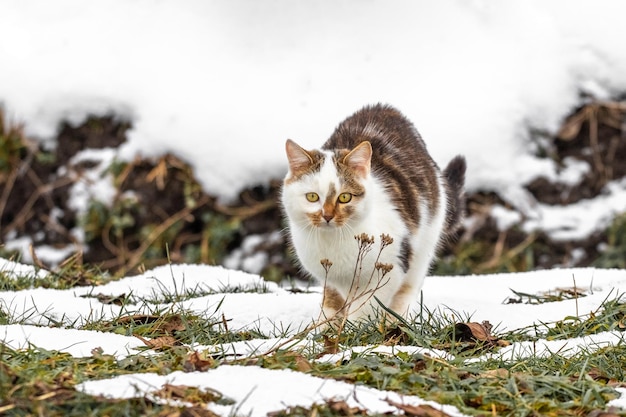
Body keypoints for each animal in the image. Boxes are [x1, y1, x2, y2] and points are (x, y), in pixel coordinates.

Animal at [282, 102, 464, 324]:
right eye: (312, 197)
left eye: (345, 197)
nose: (327, 216)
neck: (334, 241)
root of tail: (387, 109)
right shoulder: (329, 278)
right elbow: (332, 302)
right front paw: (326, 327)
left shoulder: (391, 268)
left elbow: (364, 310)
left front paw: (352, 329)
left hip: (425, 240)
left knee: (409, 287)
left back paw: (397, 321)